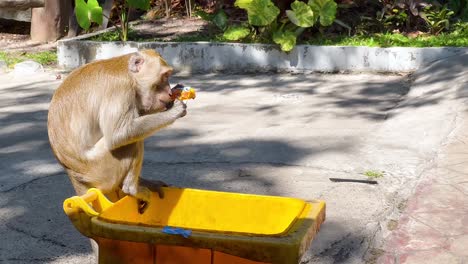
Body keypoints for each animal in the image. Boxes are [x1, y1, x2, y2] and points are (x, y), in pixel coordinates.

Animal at [47, 49, 186, 210]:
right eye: (165, 76)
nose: (169, 91)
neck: (128, 73)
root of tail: (74, 174)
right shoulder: (119, 88)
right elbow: (118, 135)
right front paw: (174, 111)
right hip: (102, 169)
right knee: (130, 142)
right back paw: (131, 189)